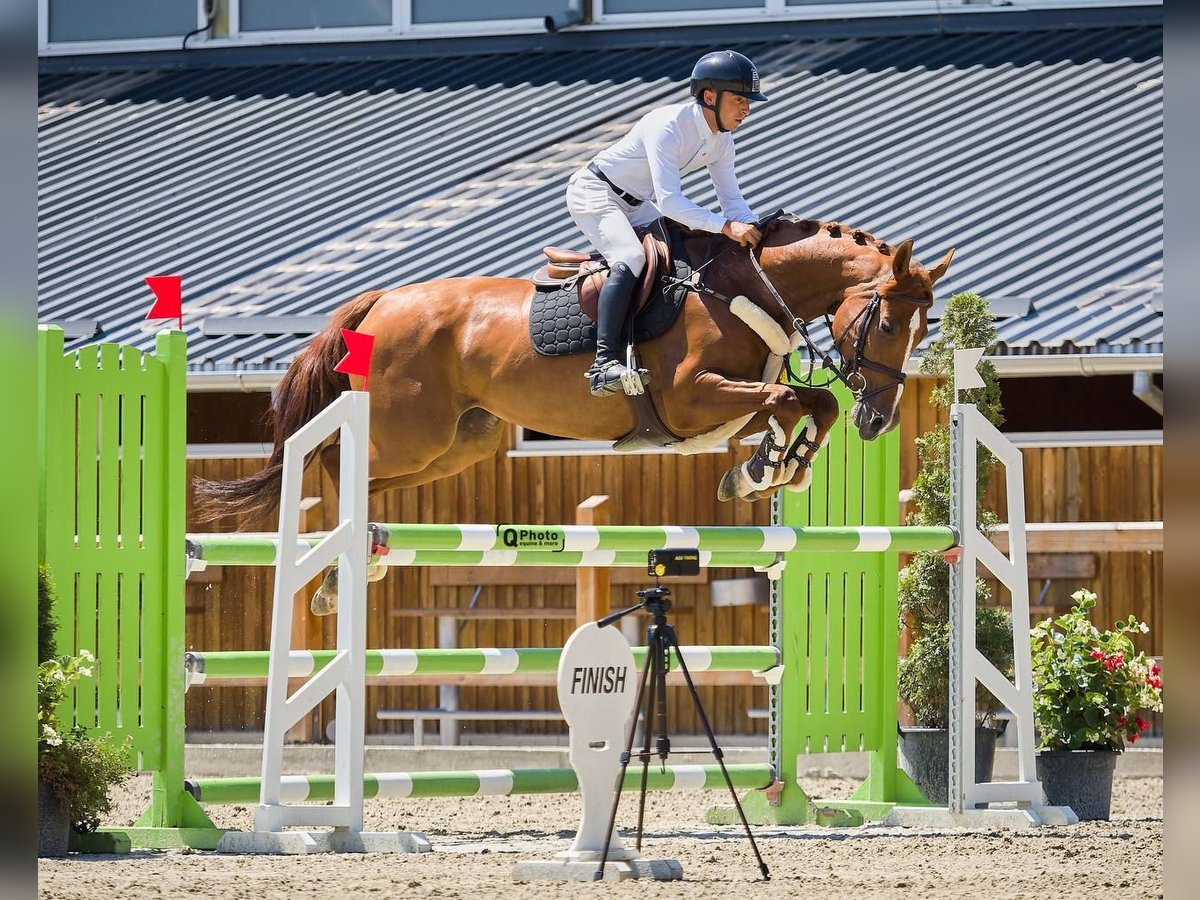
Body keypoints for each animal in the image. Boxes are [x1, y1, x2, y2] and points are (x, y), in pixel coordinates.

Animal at [192, 218, 950, 525]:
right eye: (889, 325)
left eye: (924, 329)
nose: (880, 420)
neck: (748, 285)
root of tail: (383, 301)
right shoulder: (690, 398)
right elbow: (791, 402)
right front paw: (765, 468)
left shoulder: (728, 404)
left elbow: (806, 405)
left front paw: (763, 471)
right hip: (410, 433)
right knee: (327, 457)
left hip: (454, 446)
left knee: (363, 473)